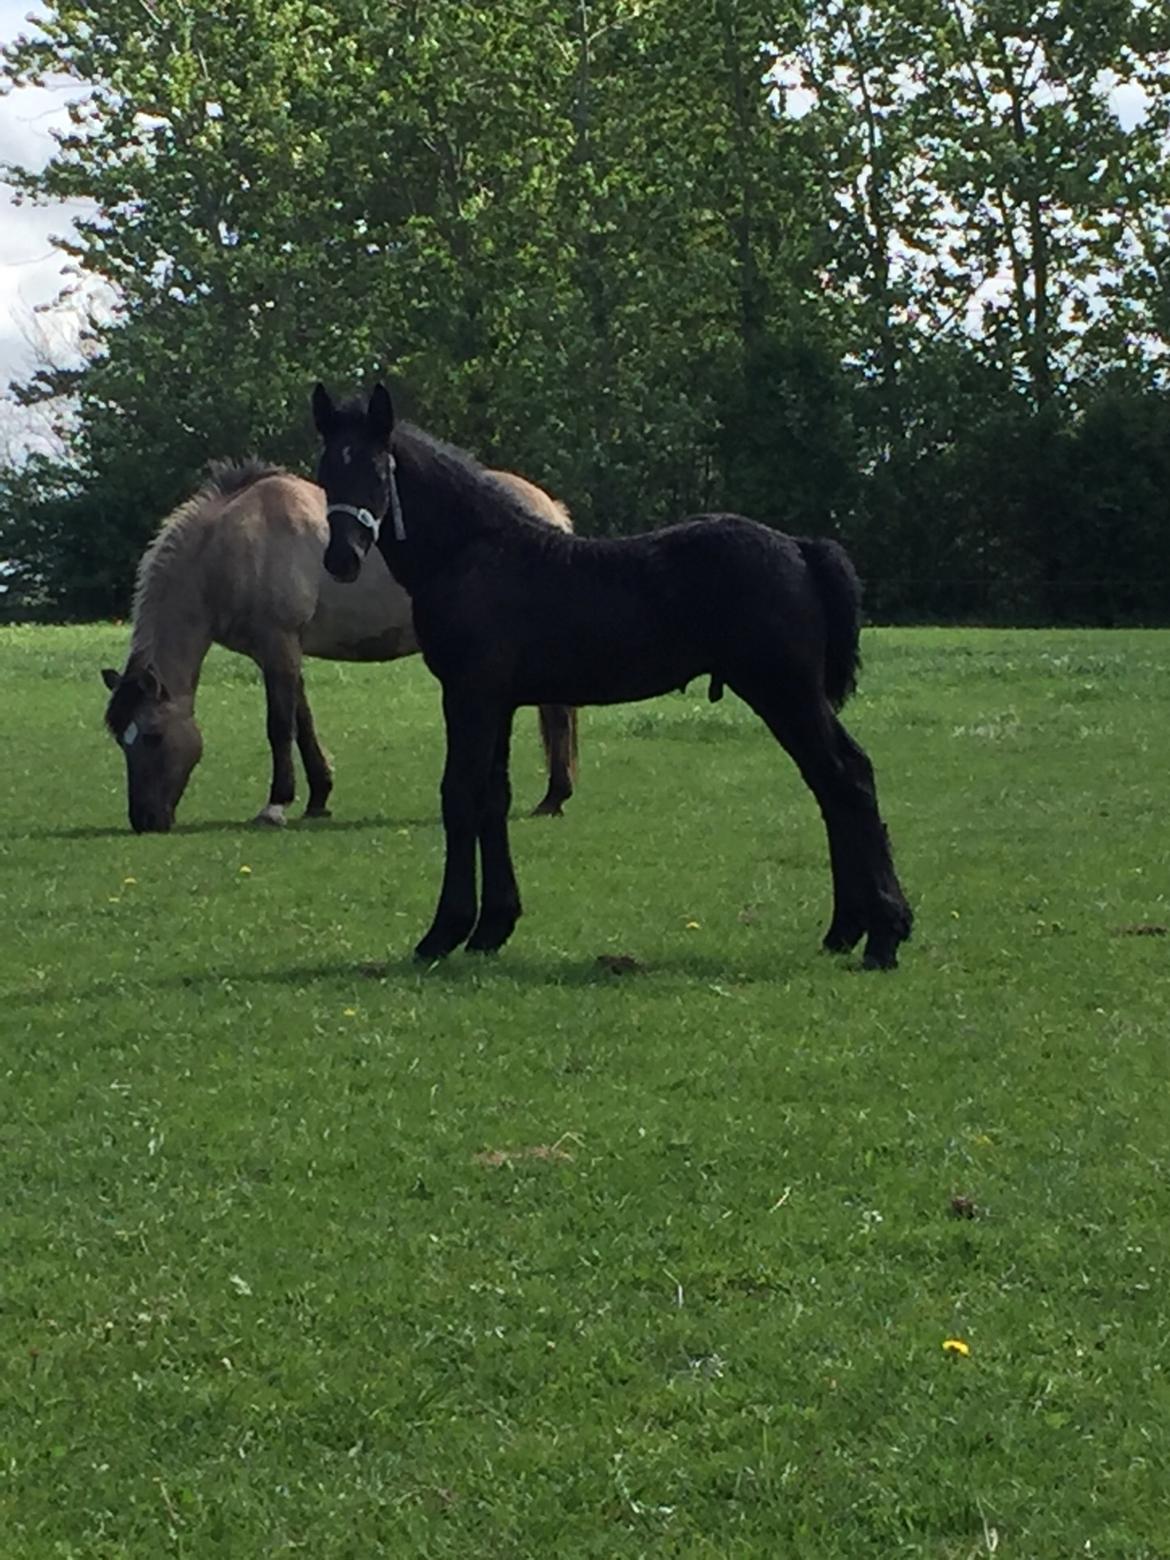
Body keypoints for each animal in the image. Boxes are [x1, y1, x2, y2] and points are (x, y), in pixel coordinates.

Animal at [99, 458, 583, 836]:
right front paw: (318, 799)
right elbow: (303, 723)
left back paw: (554, 798)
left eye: (154, 736)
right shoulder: (281, 652)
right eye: (121, 741)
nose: (145, 820)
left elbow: (280, 727)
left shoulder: (278, 645)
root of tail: (548, 507)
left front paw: (275, 806)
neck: (232, 544)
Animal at [313, 383, 917, 967]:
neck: (473, 552)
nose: (341, 559)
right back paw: (847, 930)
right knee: (835, 784)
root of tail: (800, 549)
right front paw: (492, 927)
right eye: (324, 472)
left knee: (847, 778)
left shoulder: (469, 696)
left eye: (376, 470)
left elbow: (459, 795)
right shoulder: (498, 701)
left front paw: (443, 932)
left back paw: (883, 936)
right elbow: (493, 797)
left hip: (785, 692)